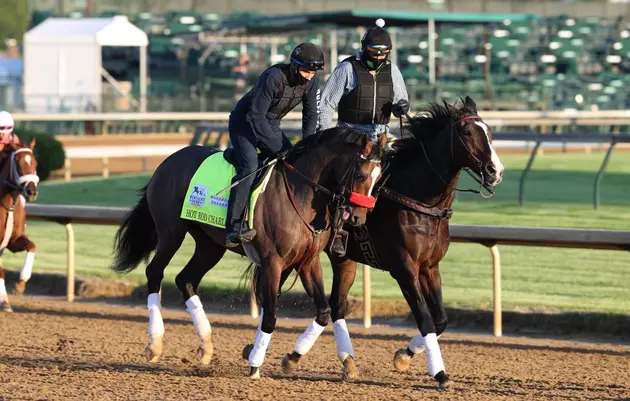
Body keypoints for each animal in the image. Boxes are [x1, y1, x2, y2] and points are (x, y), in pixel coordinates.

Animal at [112, 127, 390, 376]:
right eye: (361, 175)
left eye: (379, 179)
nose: (358, 218)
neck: (300, 191)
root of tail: (167, 162)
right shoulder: (272, 262)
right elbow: (270, 315)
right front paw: (256, 363)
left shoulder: (307, 260)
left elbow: (323, 312)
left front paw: (292, 357)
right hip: (171, 232)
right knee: (154, 272)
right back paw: (155, 343)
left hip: (210, 244)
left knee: (186, 279)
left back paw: (206, 346)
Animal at [282, 95, 508, 386]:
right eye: (468, 132)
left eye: (489, 132)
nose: (495, 171)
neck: (420, 201)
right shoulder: (404, 268)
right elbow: (425, 319)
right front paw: (440, 373)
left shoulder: (429, 267)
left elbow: (440, 319)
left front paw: (404, 355)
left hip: (343, 258)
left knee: (337, 306)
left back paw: (333, 359)